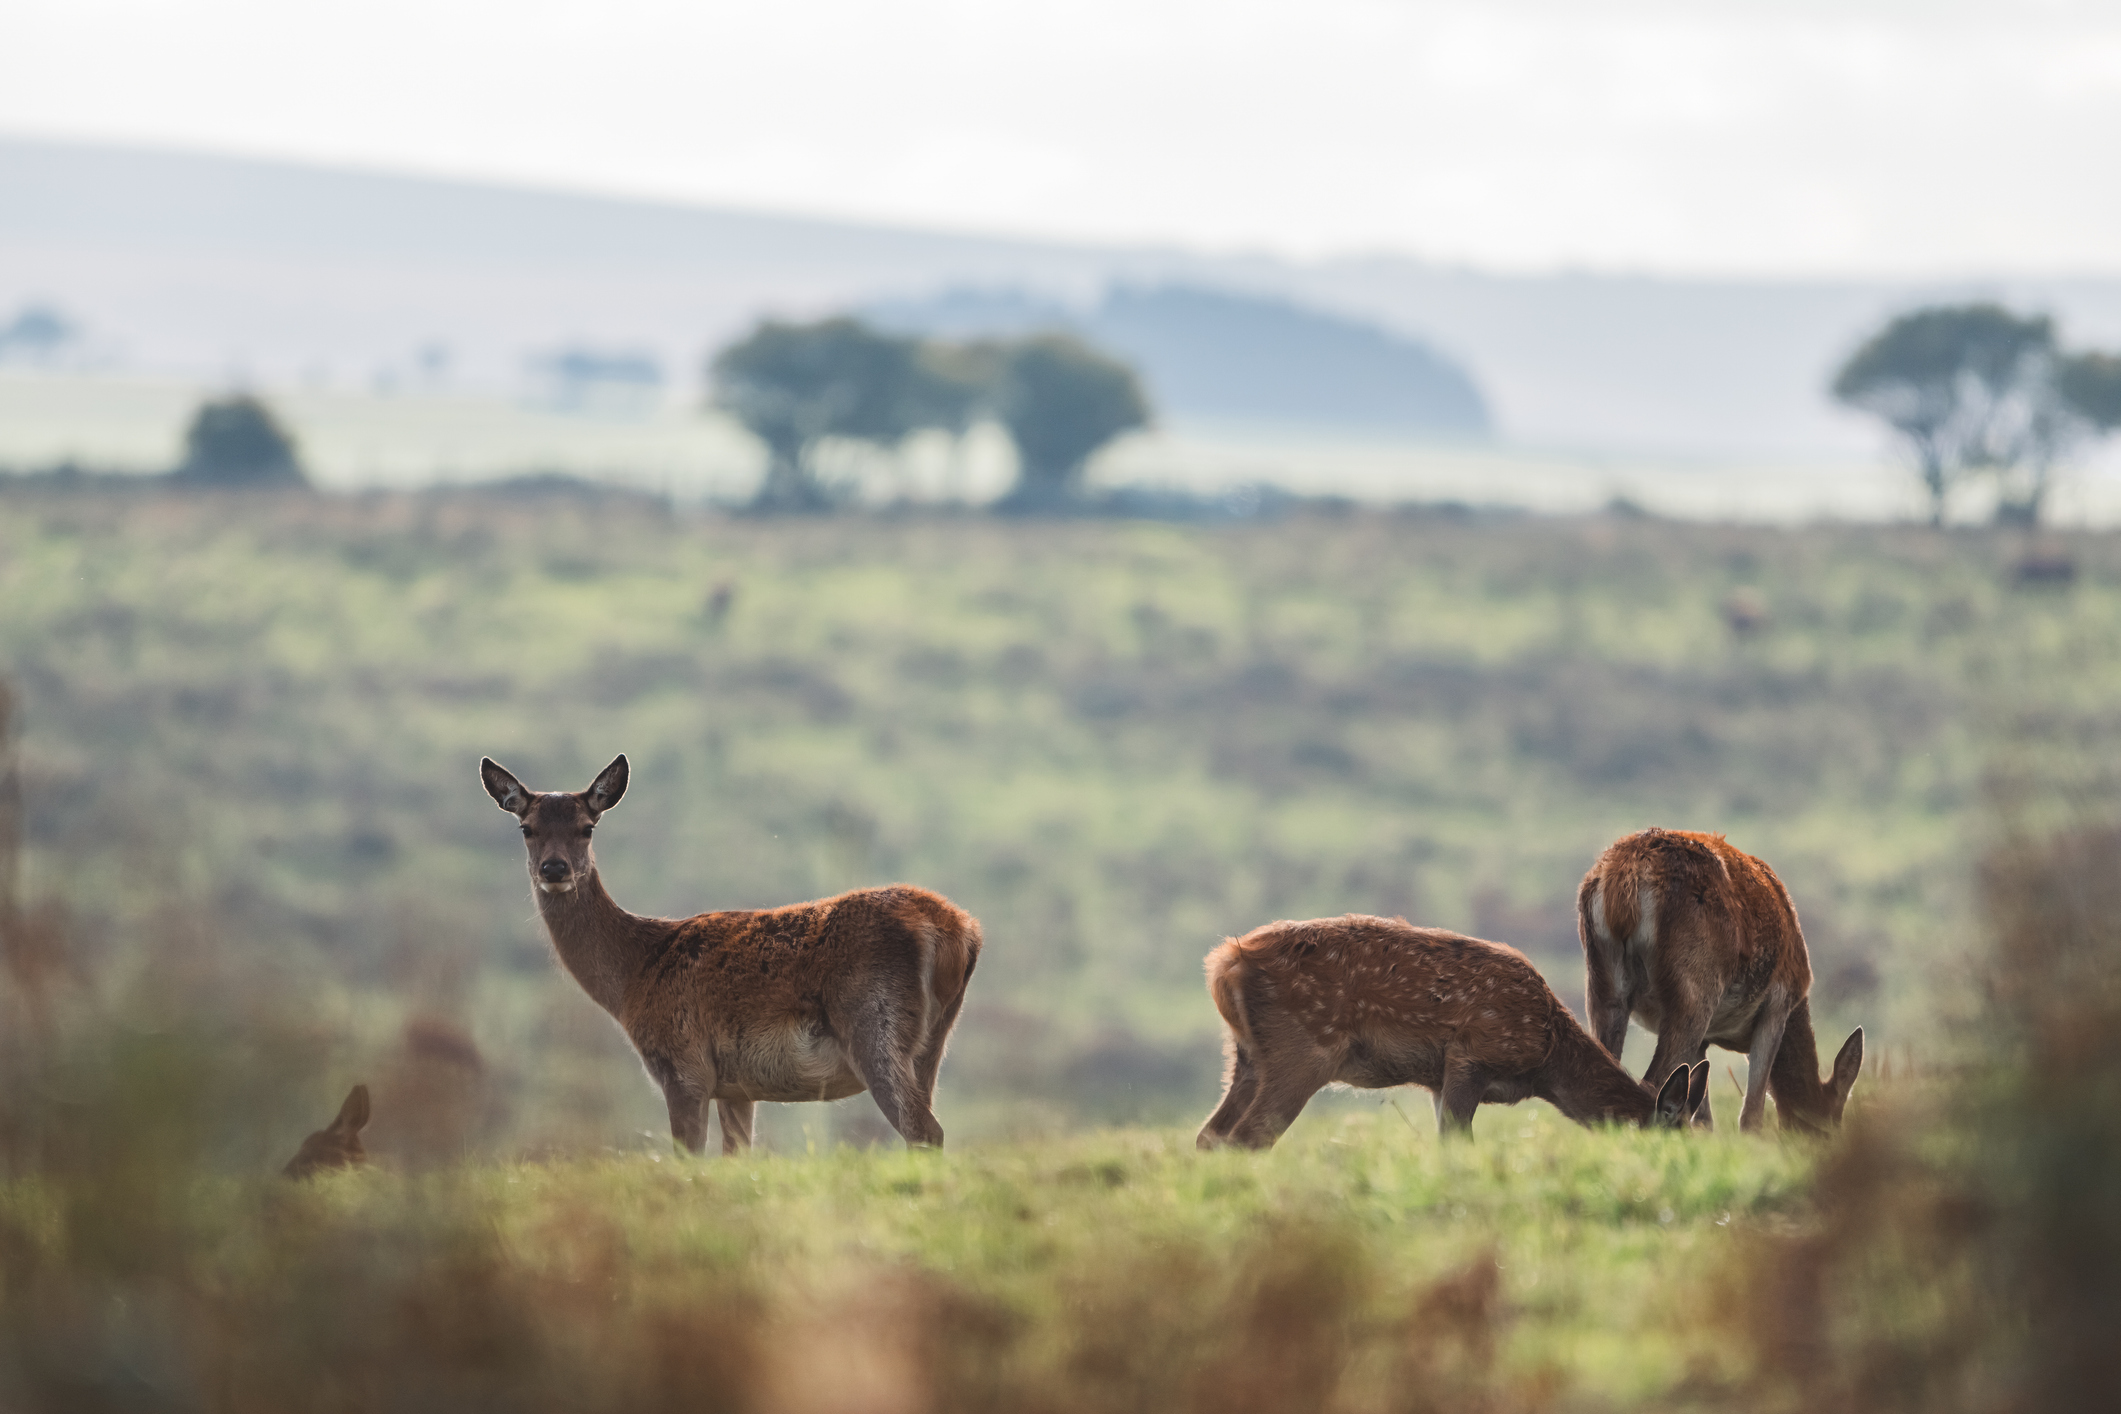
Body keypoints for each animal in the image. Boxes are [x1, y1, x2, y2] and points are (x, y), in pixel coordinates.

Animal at [481, 754, 982, 1155]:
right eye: (527, 828)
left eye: (587, 828)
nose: (554, 868)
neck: (633, 977)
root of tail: (959, 931)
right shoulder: (737, 1085)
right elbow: (737, 1156)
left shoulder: (685, 1066)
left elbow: (688, 1158)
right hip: (933, 1042)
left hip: (873, 1022)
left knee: (924, 1130)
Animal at [1195, 914, 1709, 1148]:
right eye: (1679, 1140)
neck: (1547, 1058)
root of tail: (1225, 963)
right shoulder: (1473, 1055)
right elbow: (1459, 1143)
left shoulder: (1437, 1082)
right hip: (1302, 1048)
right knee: (1246, 1137)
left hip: (1246, 1056)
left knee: (1210, 1135)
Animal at [1578, 828, 1862, 1134]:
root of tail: (1624, 879)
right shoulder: (1777, 1007)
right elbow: (1751, 1114)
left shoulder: (1706, 1039)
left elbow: (1703, 1116)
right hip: (1695, 989)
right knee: (1653, 1082)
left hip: (1602, 984)